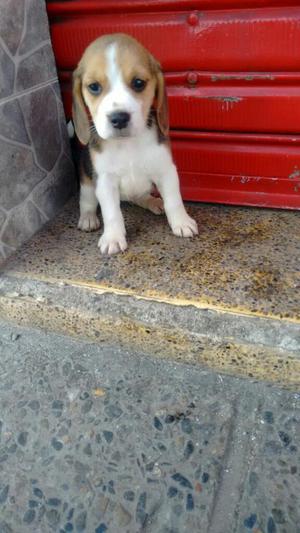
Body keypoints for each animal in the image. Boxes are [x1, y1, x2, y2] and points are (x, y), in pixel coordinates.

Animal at [73, 33, 198, 254]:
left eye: (138, 83)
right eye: (94, 87)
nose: (119, 118)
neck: (127, 144)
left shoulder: (166, 171)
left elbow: (174, 200)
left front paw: (181, 222)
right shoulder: (105, 181)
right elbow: (111, 213)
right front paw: (113, 237)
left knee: (141, 197)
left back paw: (154, 202)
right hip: (87, 182)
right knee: (87, 202)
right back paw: (88, 218)